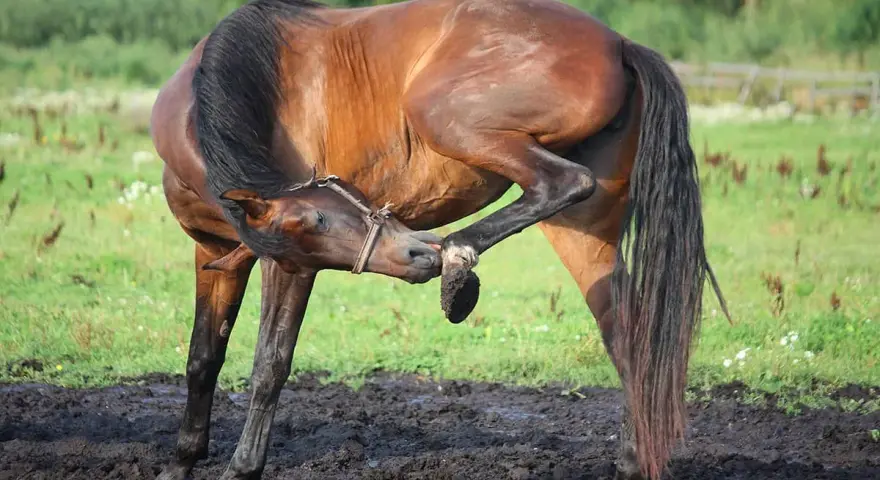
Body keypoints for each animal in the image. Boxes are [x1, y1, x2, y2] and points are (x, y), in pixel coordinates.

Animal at [150, 0, 728, 478]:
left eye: (320, 219)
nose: (413, 253)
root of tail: (620, 44)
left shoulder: (290, 268)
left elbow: (269, 363)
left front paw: (242, 466)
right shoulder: (213, 254)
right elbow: (202, 358)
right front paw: (181, 462)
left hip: (446, 117)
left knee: (563, 182)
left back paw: (456, 259)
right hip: (585, 233)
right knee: (628, 338)